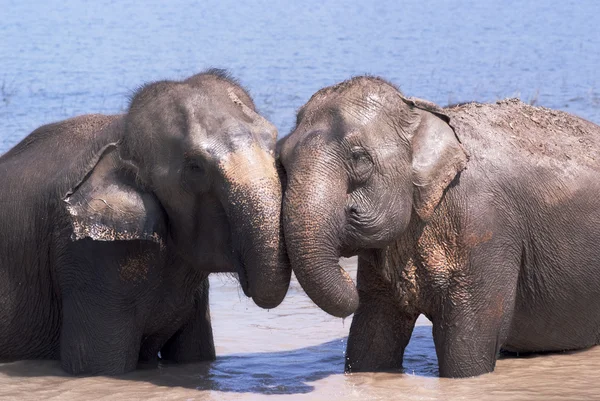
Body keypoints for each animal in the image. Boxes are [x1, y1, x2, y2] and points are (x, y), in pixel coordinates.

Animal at [0, 69, 290, 376]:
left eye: (273, 141)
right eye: (195, 167)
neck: (121, 134)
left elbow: (195, 356)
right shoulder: (88, 258)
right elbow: (98, 367)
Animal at [278, 76, 600, 378]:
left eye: (359, 158)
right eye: (281, 160)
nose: (347, 277)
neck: (419, 112)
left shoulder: (485, 226)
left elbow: (468, 349)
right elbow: (372, 334)